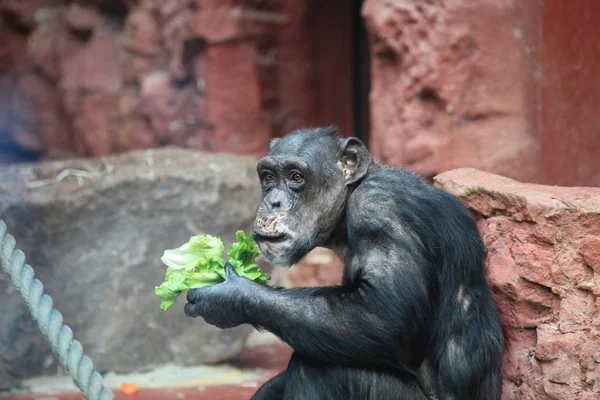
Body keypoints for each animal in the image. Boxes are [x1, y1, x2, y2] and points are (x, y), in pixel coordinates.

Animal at [185, 126, 504, 398]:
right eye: (267, 177)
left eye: (296, 177)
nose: (273, 202)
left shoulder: (379, 209)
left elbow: (384, 316)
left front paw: (229, 296)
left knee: (319, 367)